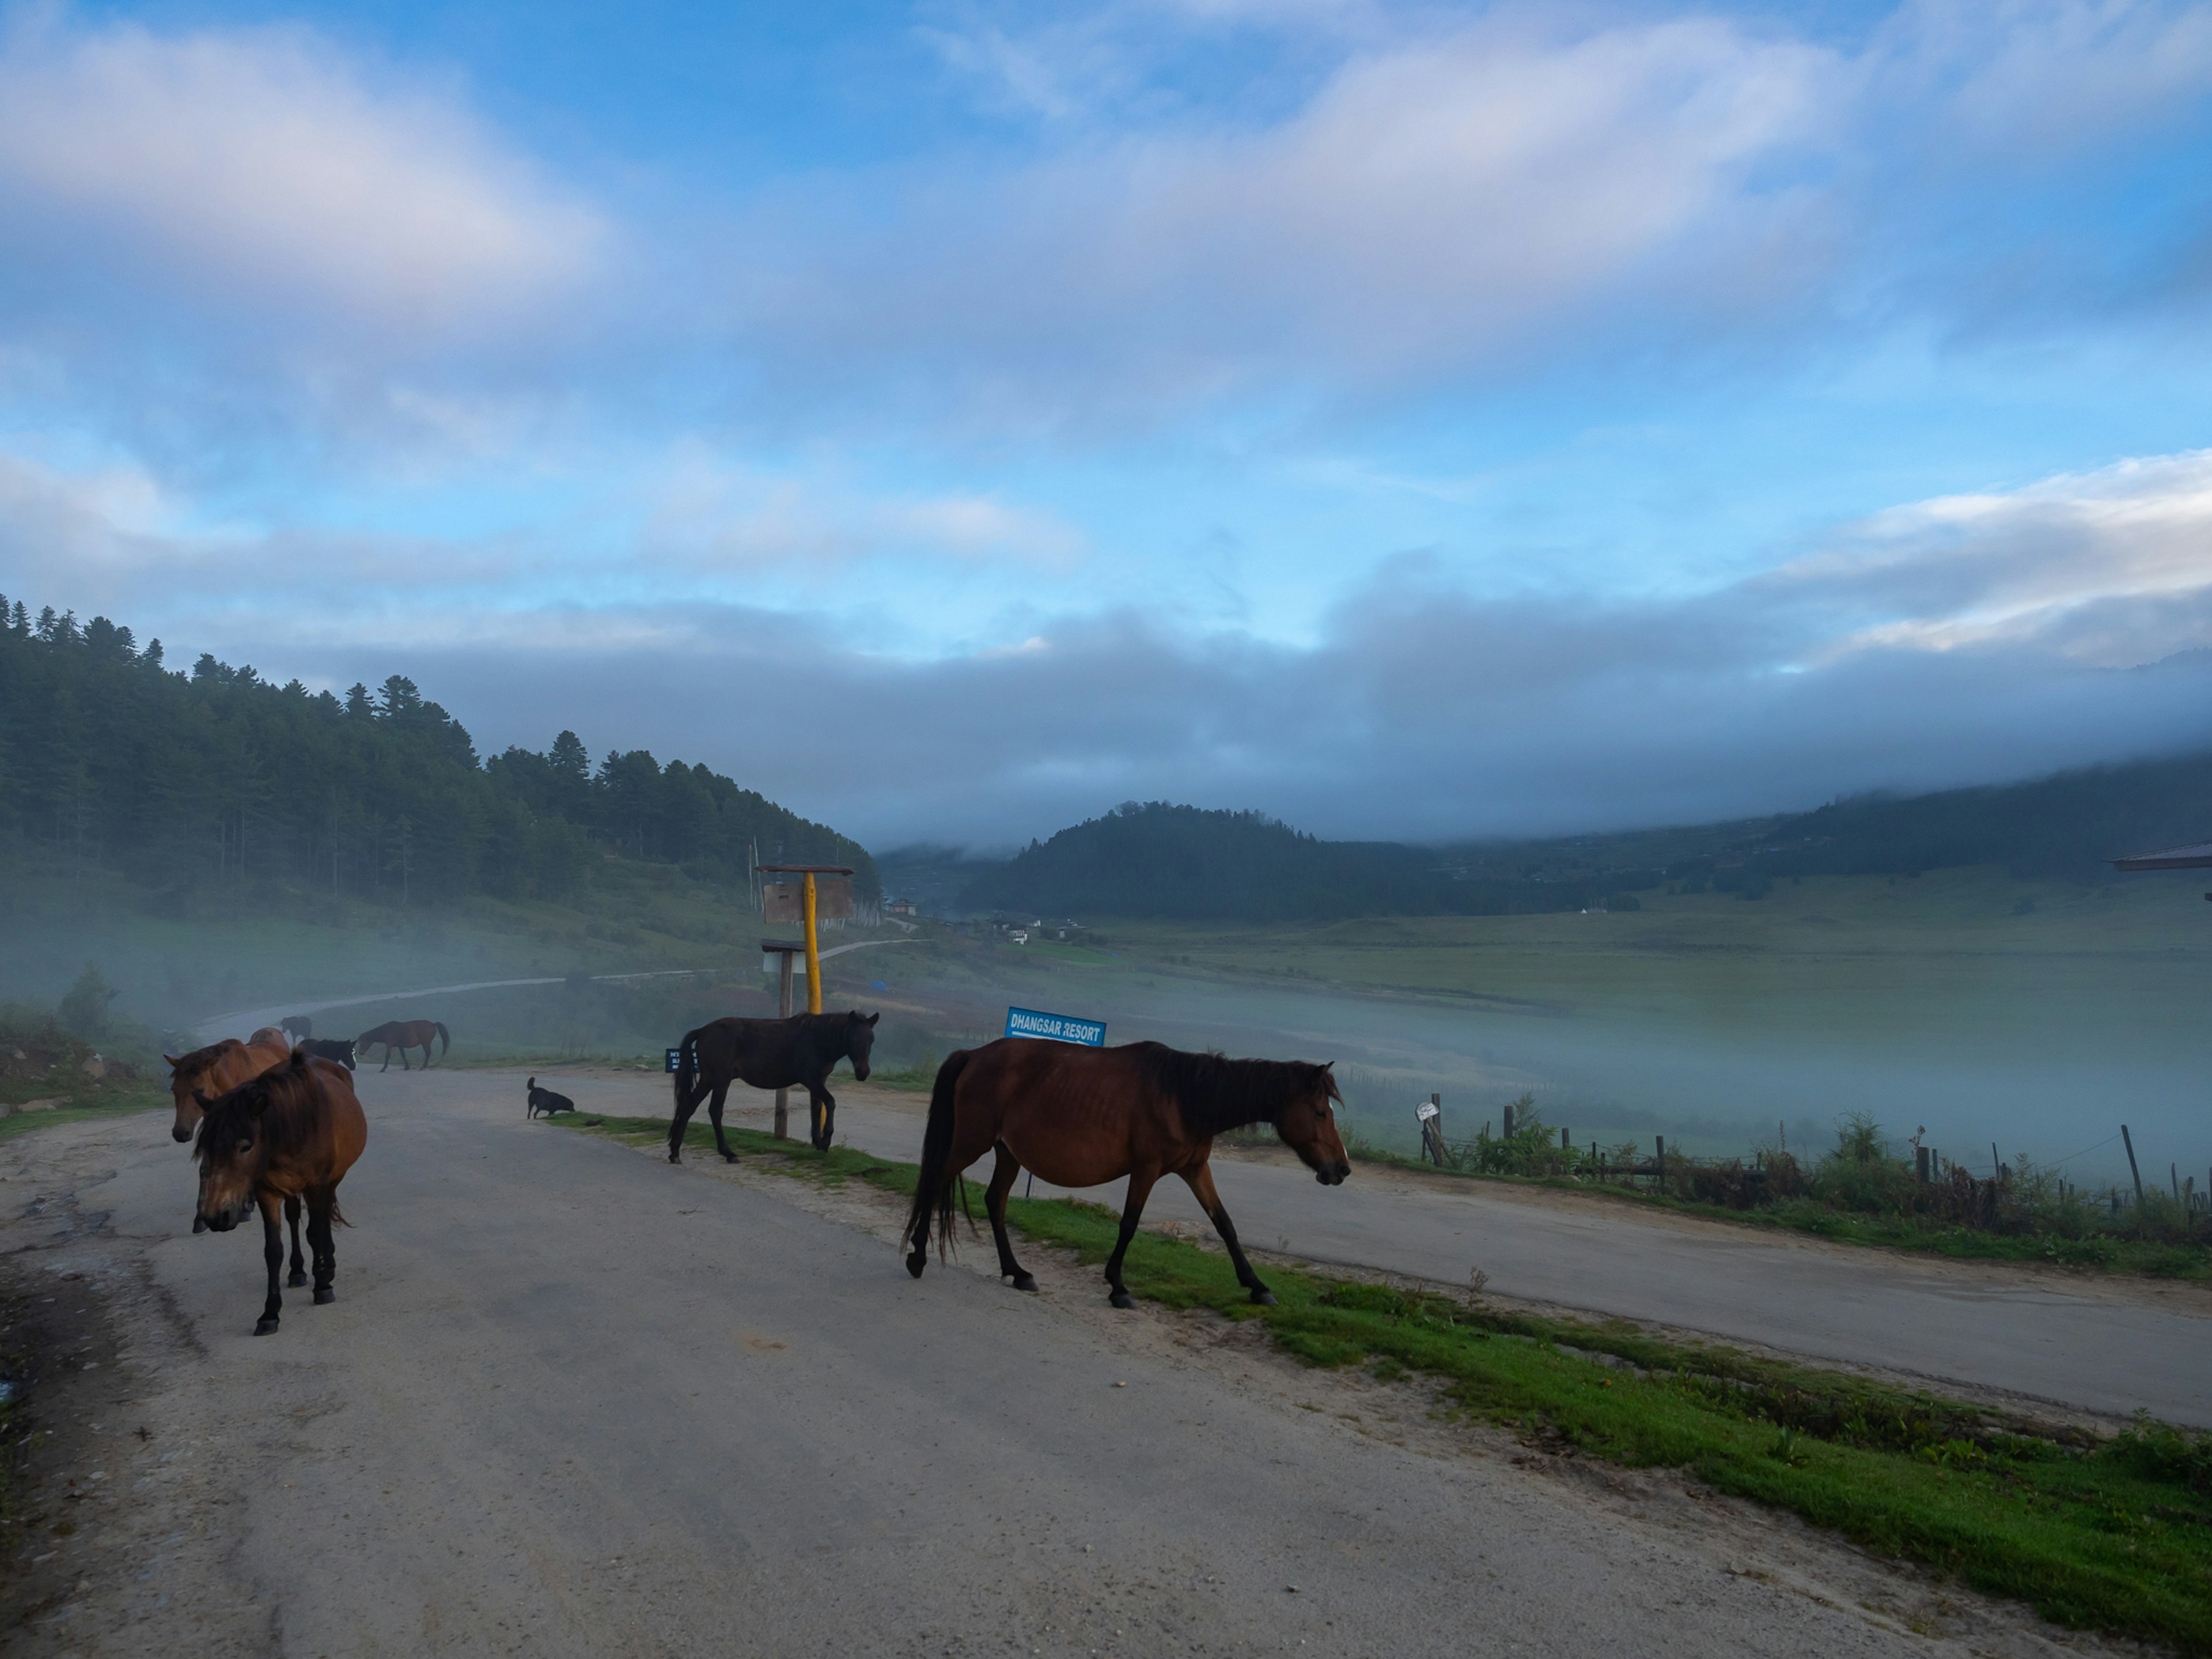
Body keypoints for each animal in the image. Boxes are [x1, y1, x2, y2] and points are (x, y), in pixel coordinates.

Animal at [194, 1057, 367, 1344]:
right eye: (206, 1146)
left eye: (245, 1146)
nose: (216, 1216)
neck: (293, 1127)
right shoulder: (267, 1193)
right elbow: (273, 1251)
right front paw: (270, 1314)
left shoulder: (317, 1185)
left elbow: (317, 1232)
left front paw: (323, 1286)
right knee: (295, 1217)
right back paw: (298, 1271)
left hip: (333, 1179)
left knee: (321, 1222)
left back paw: (326, 1266)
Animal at [354, 1022, 449, 1070]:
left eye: (363, 1042)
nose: (361, 1053)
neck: (387, 1030)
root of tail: (433, 1024)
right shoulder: (400, 1046)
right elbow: (403, 1056)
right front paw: (407, 1067)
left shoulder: (390, 1044)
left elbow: (388, 1056)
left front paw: (383, 1068)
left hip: (425, 1043)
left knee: (428, 1053)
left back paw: (423, 1067)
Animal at [668, 1009, 876, 1159]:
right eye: (852, 1037)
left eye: (871, 1040)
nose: (863, 1072)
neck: (817, 1039)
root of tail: (703, 1030)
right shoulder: (811, 1080)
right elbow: (830, 1103)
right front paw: (826, 1141)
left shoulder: (819, 1082)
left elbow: (817, 1109)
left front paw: (817, 1141)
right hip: (721, 1080)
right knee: (715, 1111)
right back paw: (728, 1152)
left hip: (709, 1080)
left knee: (688, 1107)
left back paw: (675, 1151)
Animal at [907, 1039, 1354, 1309]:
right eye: (1320, 1112)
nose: (1342, 1168)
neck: (1182, 1096)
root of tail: (974, 1054)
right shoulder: (1146, 1170)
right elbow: (1129, 1225)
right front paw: (1118, 1286)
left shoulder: (1195, 1169)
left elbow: (1225, 1225)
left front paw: (1257, 1286)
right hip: (971, 1143)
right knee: (934, 1184)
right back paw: (918, 1257)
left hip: (1007, 1153)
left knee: (995, 1203)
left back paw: (1017, 1273)